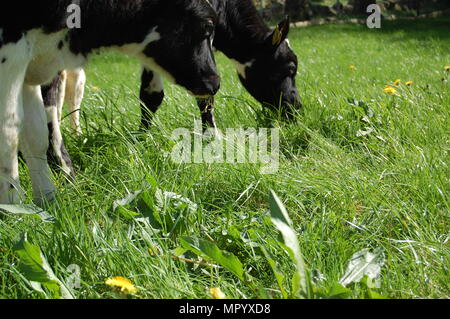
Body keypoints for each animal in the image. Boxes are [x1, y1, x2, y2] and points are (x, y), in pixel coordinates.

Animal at [0, 0, 219, 205]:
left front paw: (47, 200)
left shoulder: (29, 65)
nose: (215, 81)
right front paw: (14, 206)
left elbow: (36, 134)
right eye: (207, 26)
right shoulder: (12, 49)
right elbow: (9, 130)